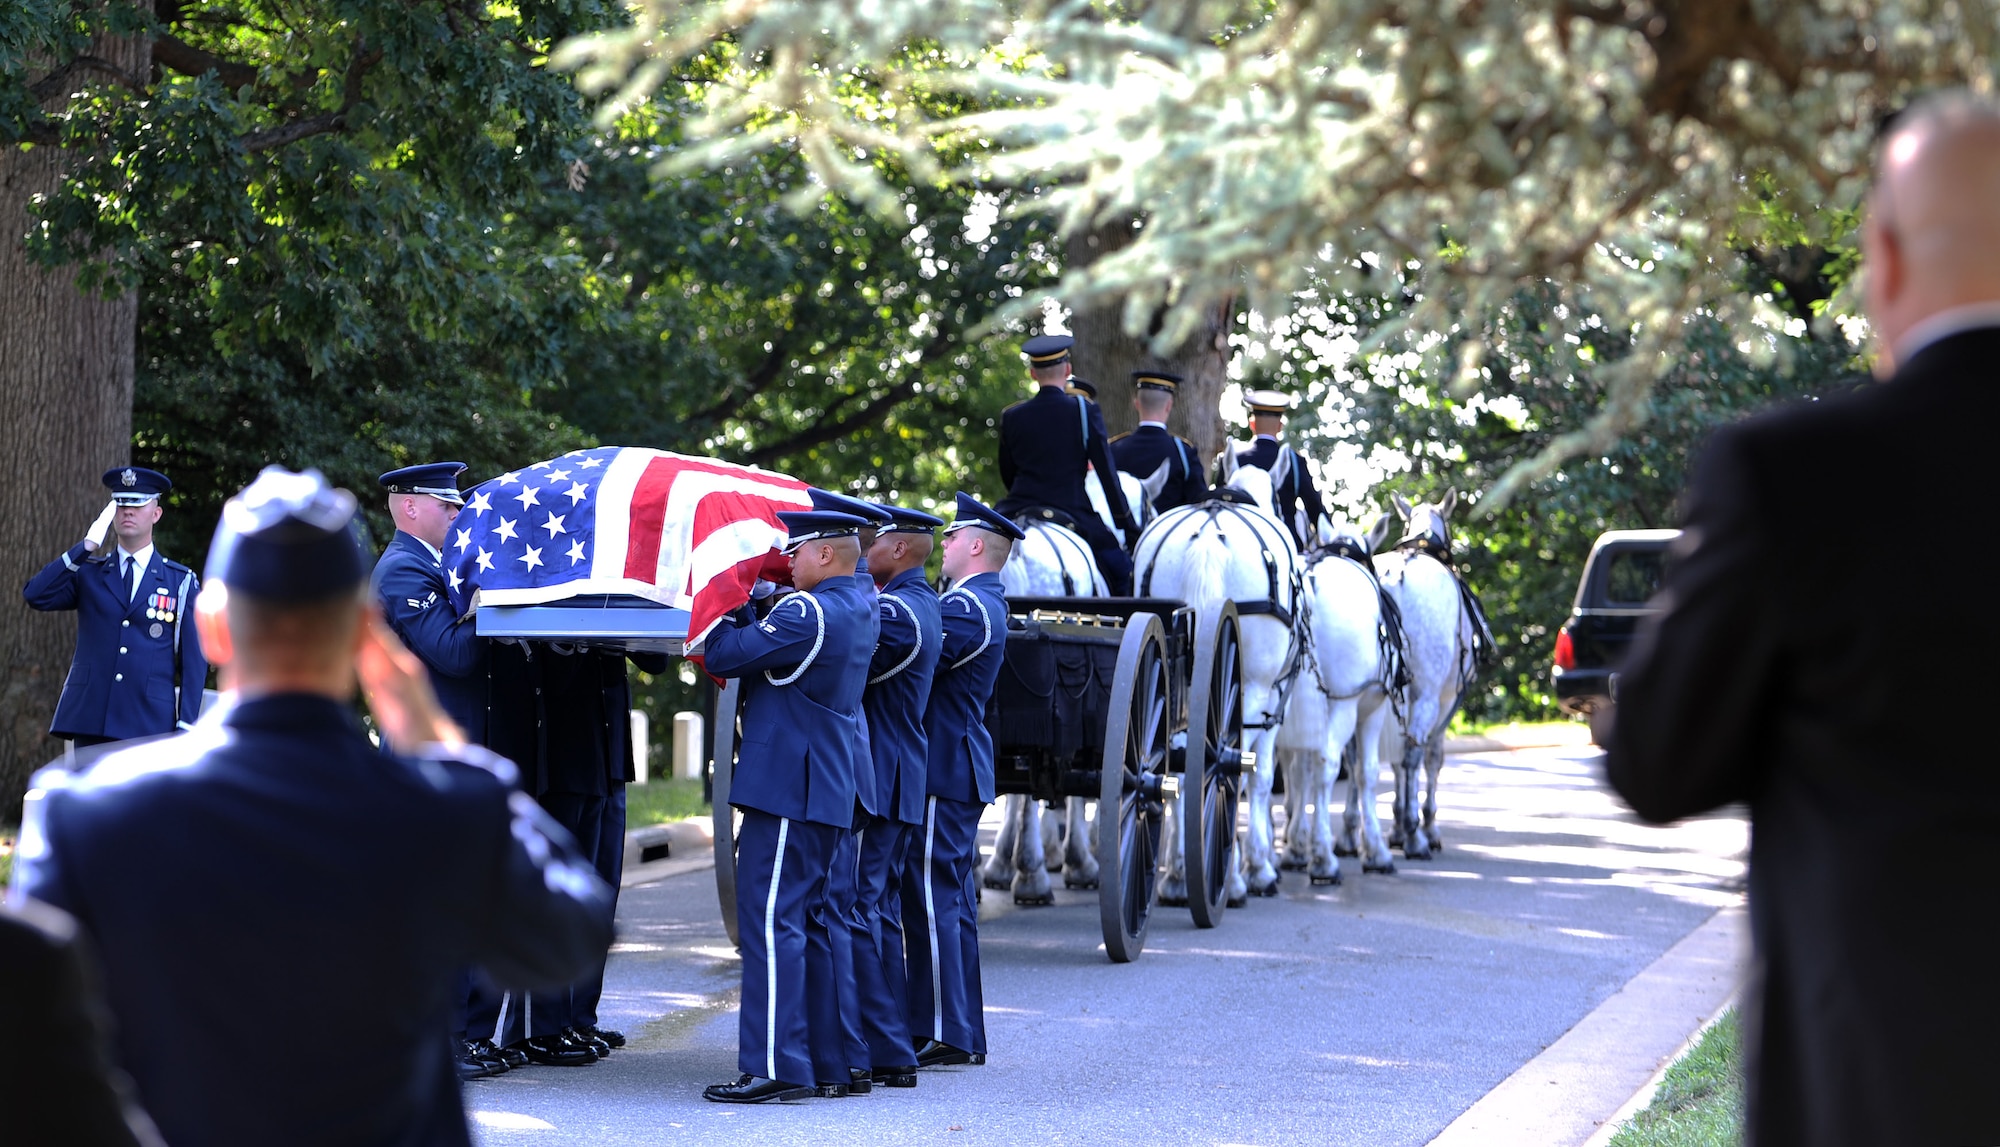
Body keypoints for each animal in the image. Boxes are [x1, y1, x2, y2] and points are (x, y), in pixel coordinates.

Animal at [1136, 467, 1304, 907]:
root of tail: (1209, 533)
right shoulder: (1271, 700)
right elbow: (1259, 779)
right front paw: (1258, 869)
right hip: (1252, 690)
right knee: (1230, 764)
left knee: (1176, 764)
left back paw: (1178, 875)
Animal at [1272, 519, 1400, 879]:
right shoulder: (1371, 708)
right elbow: (1366, 773)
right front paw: (1375, 851)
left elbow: (1299, 773)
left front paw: (1296, 843)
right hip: (1344, 705)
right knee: (1327, 762)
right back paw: (1323, 860)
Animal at [1376, 489, 1488, 859]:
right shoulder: (1446, 700)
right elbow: (1432, 758)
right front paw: (1425, 826)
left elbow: (1395, 760)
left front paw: (1397, 825)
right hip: (1427, 695)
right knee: (1413, 755)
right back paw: (1416, 837)